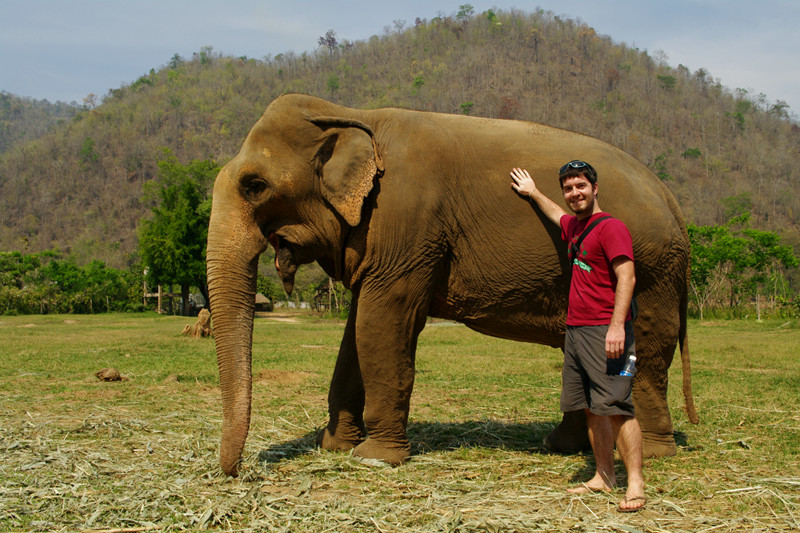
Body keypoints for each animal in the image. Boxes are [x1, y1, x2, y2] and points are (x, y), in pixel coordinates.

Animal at [208, 93, 700, 476]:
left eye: (254, 185)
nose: (238, 472)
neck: (349, 112)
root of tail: (670, 198)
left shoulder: (407, 221)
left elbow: (382, 325)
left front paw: (375, 458)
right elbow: (355, 332)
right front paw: (335, 446)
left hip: (652, 270)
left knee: (648, 353)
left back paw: (652, 451)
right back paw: (562, 445)